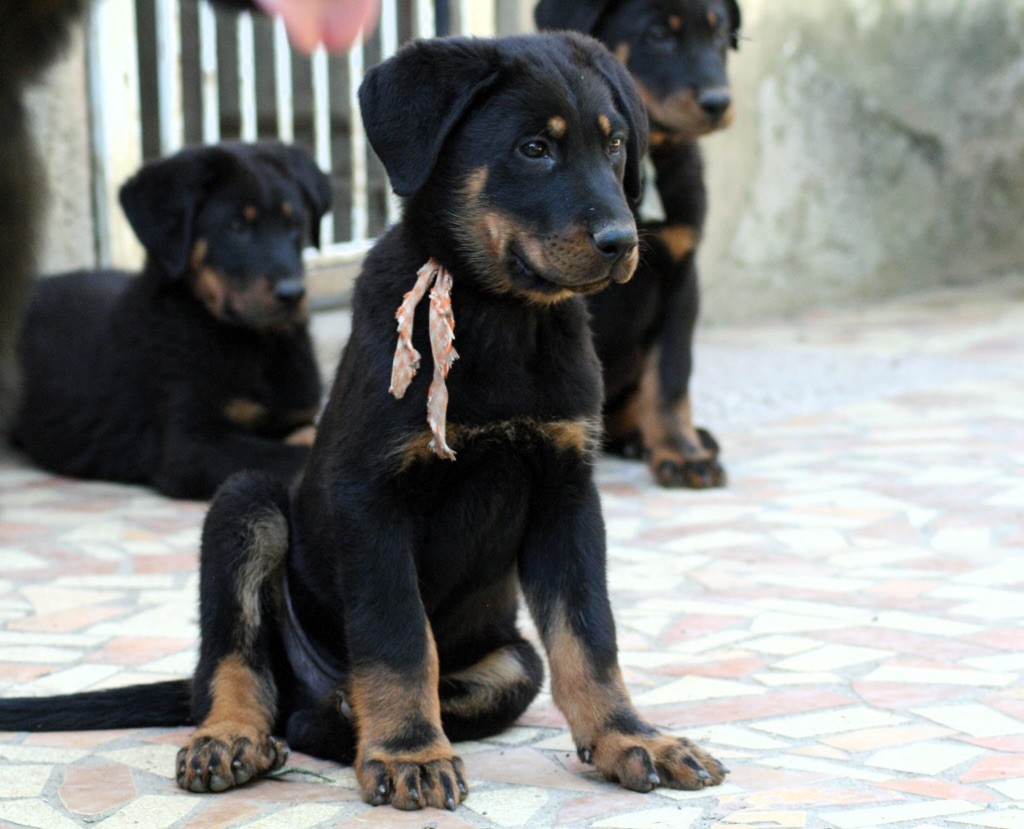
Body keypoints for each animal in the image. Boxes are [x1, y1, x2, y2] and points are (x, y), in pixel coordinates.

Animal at [9, 142, 329, 497]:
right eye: (236, 227)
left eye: (295, 224)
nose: (293, 294)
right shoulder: (189, 443)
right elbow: (293, 457)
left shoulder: (296, 415)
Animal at [536, 0, 745, 487]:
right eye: (657, 35)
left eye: (719, 33)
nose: (719, 102)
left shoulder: (680, 278)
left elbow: (669, 376)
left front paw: (682, 453)